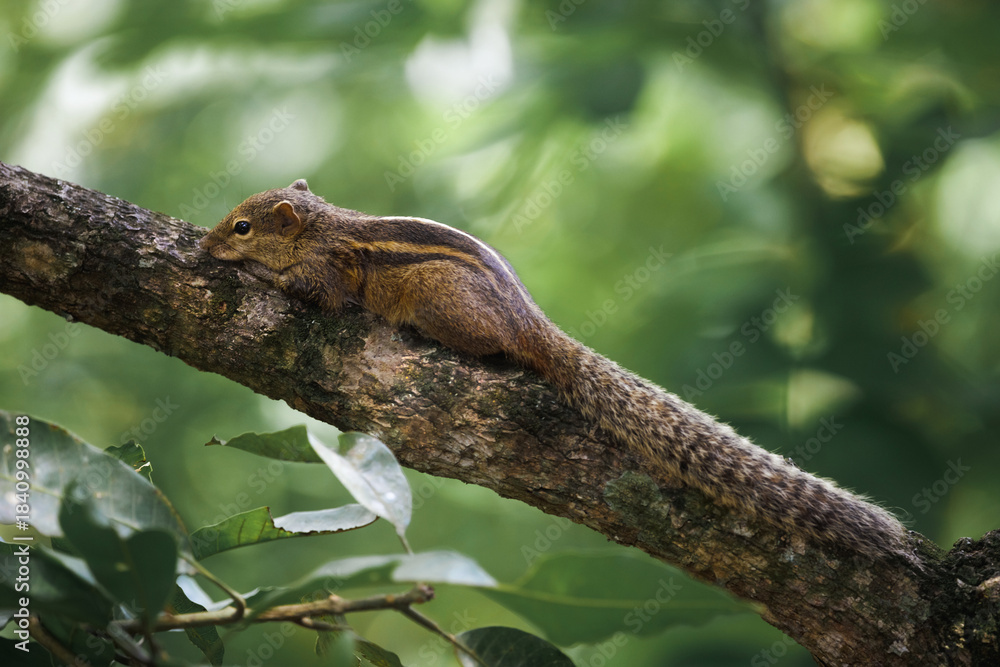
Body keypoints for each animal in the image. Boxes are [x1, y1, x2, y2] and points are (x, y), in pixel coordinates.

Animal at [201, 179, 909, 559]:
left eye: (241, 227)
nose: (207, 245)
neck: (321, 229)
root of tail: (528, 321)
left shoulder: (326, 273)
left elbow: (307, 291)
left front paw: (257, 272)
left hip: (444, 305)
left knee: (494, 349)